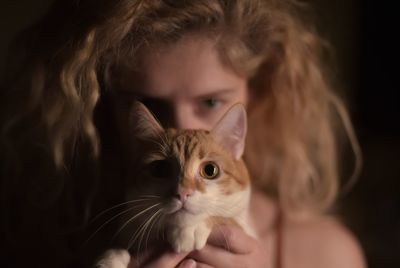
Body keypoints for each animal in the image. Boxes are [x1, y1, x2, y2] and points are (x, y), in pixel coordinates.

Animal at [95, 101, 255, 266]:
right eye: (160, 169)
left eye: (210, 170)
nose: (182, 192)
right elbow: (118, 248)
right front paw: (110, 260)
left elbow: (228, 219)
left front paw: (191, 228)